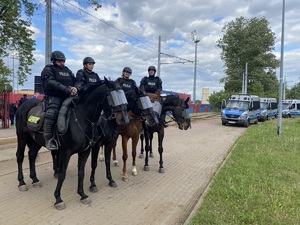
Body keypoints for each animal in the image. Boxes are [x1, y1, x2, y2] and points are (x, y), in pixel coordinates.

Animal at [14, 78, 129, 209]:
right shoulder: (66, 152)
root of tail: (23, 105)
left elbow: (81, 172)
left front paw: (82, 194)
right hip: (22, 136)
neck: (81, 119)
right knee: (20, 156)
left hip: (36, 140)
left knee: (32, 154)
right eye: (112, 96)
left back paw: (35, 179)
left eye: (123, 96)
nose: (125, 119)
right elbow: (62, 174)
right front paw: (58, 198)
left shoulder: (85, 151)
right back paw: (22, 182)